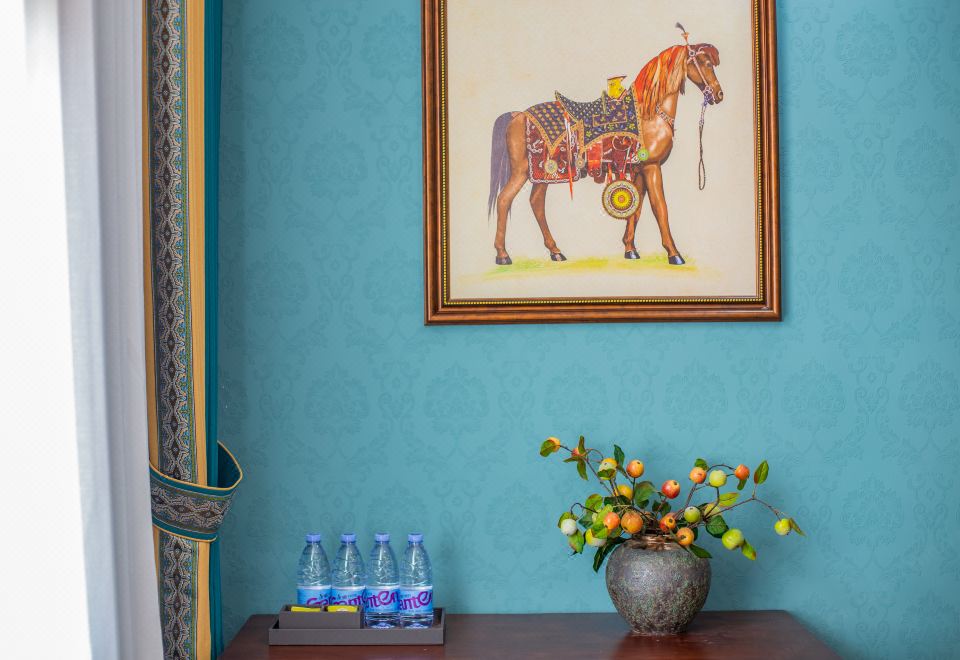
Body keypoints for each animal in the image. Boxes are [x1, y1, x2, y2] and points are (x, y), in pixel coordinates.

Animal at [487, 42, 723, 266]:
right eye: (706, 64)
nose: (719, 95)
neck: (649, 114)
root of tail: (518, 115)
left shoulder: (638, 169)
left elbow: (637, 209)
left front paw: (630, 249)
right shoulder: (652, 167)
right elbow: (660, 208)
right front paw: (674, 254)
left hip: (542, 175)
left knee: (536, 203)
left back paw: (555, 252)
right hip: (522, 171)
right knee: (504, 200)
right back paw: (502, 255)